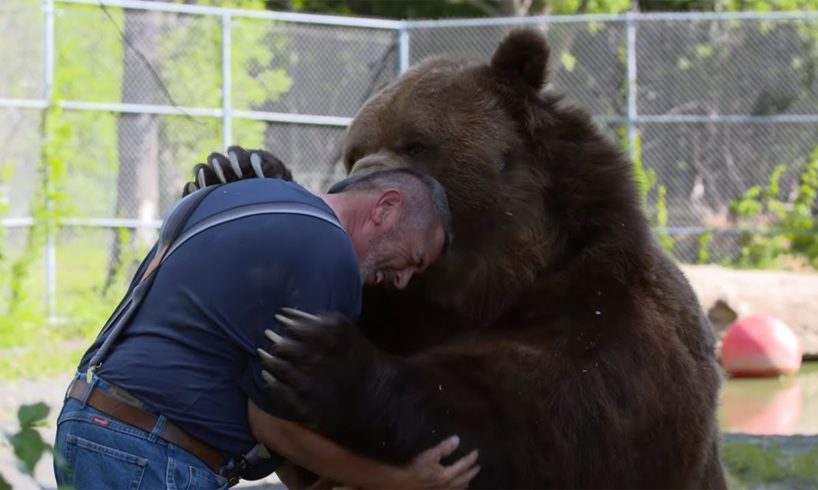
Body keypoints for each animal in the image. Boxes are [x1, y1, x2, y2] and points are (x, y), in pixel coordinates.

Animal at [183, 27, 720, 490]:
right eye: (354, 151)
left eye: (417, 143)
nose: (354, 183)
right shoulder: (396, 308)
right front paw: (232, 167)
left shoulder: (606, 324)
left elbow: (528, 422)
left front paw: (318, 356)